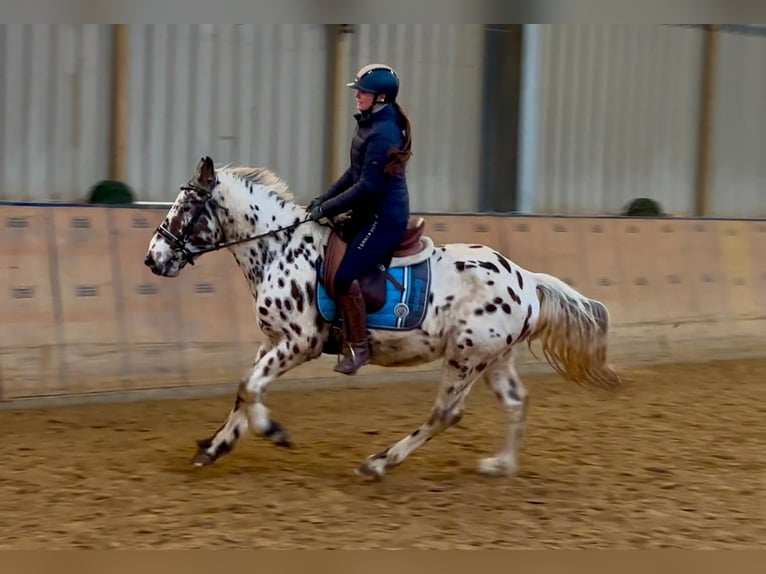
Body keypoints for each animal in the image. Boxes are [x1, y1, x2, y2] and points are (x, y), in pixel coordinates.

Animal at [146, 156, 624, 482]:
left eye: (186, 207)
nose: (153, 259)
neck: (279, 248)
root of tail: (525, 279)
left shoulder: (300, 343)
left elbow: (250, 388)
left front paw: (274, 431)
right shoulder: (271, 341)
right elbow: (244, 389)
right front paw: (215, 446)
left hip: (465, 357)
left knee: (445, 414)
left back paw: (379, 463)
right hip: (493, 359)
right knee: (514, 401)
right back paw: (500, 465)